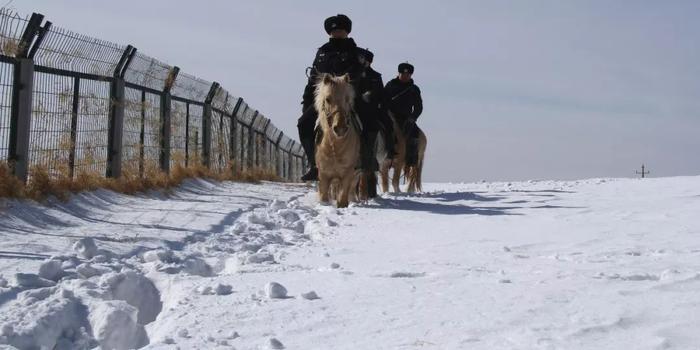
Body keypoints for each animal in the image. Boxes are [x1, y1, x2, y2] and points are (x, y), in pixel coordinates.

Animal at [316, 72, 360, 206]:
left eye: (347, 99)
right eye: (328, 99)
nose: (340, 128)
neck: (335, 148)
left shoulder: (347, 175)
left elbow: (342, 201)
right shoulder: (324, 176)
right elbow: (324, 197)